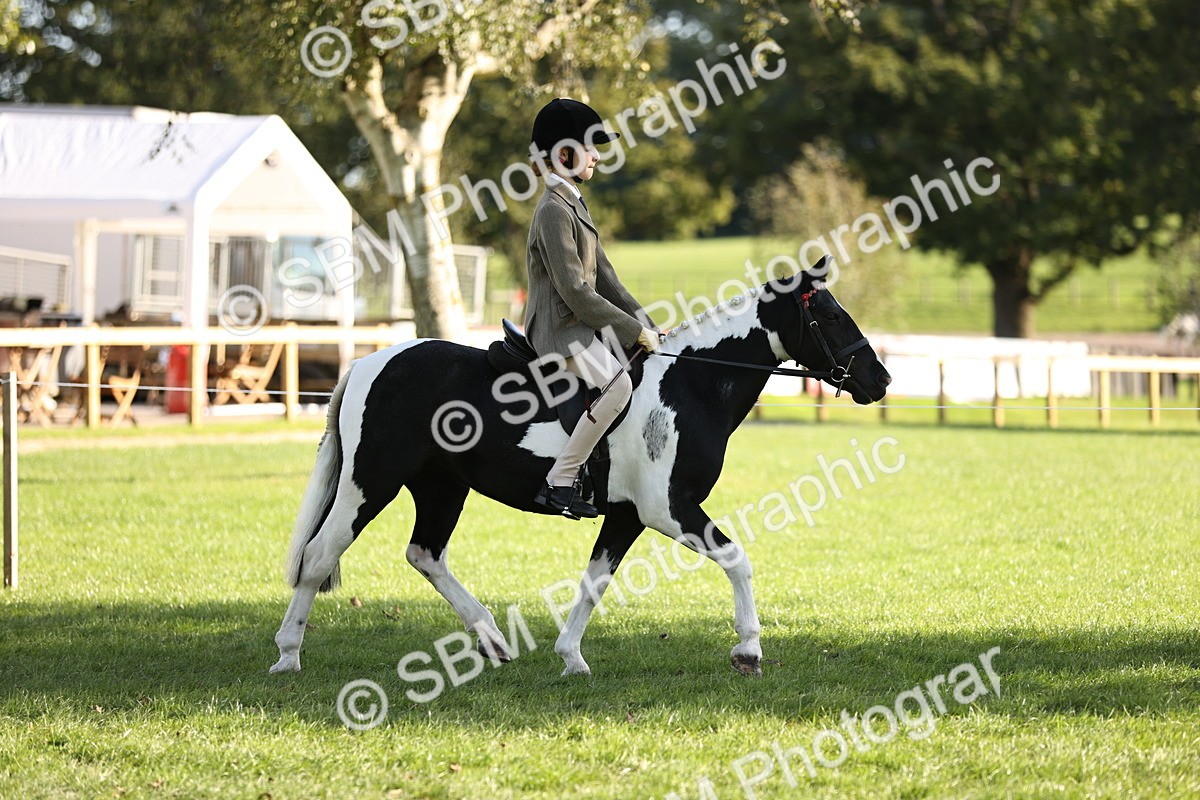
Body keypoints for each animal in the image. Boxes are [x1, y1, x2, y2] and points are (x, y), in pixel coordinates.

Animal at [269, 263, 891, 677]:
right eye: (829, 314)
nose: (880, 380)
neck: (689, 385)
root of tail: (372, 361)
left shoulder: (626, 516)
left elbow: (595, 582)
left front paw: (570, 657)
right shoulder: (669, 510)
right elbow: (738, 559)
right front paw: (748, 650)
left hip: (442, 486)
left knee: (425, 554)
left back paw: (492, 641)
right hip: (370, 482)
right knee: (319, 556)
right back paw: (288, 655)